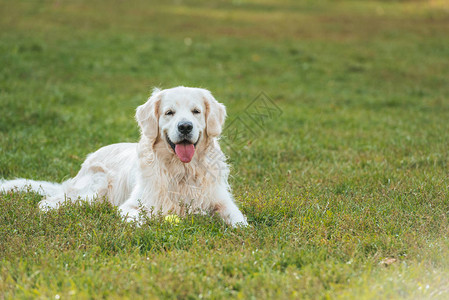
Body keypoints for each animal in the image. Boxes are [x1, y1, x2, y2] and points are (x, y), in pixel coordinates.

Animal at [0, 86, 247, 227]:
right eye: (169, 113)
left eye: (196, 111)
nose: (185, 126)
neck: (182, 171)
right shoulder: (133, 205)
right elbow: (138, 218)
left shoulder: (222, 202)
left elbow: (240, 221)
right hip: (94, 189)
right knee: (49, 203)